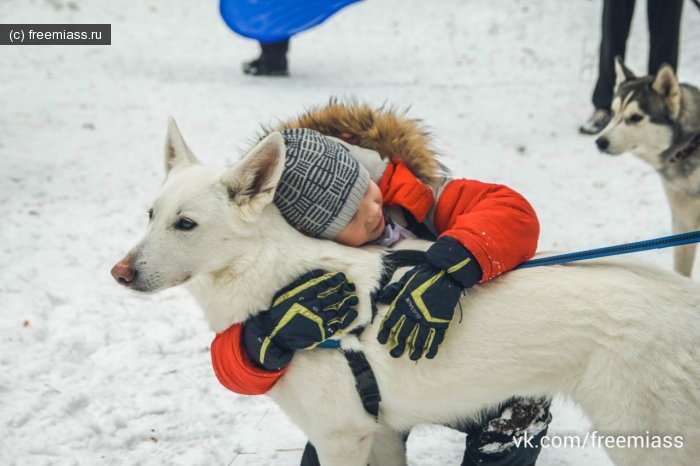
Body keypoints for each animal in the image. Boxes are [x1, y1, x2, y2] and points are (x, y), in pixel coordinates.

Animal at [112, 120, 696, 466]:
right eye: (151, 215)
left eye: (186, 224)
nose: (119, 272)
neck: (278, 280)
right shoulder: (381, 435)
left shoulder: (342, 436)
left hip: (645, 443)